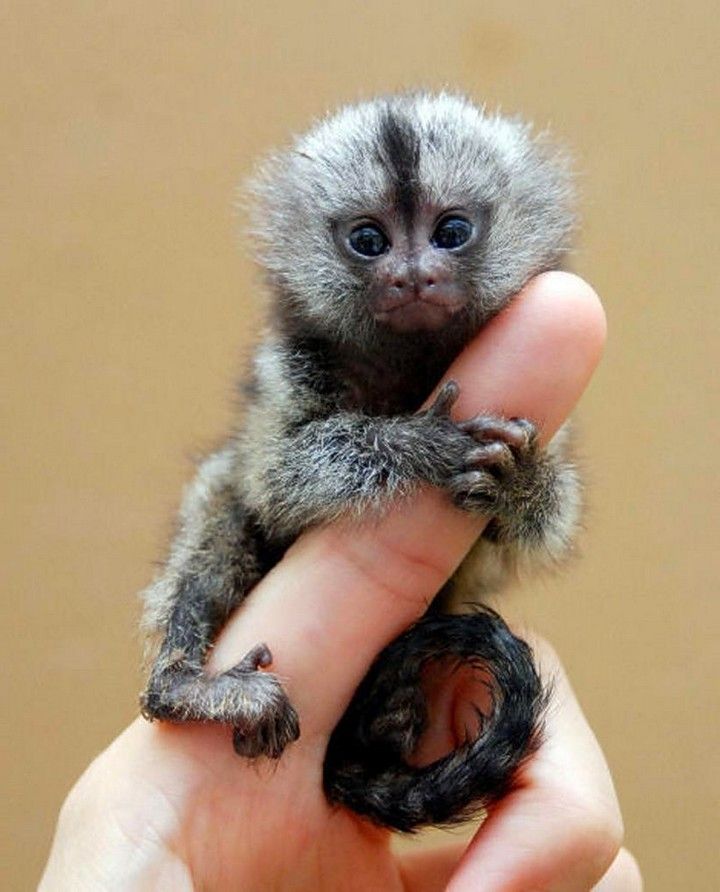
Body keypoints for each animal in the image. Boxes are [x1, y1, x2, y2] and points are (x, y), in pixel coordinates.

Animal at [139, 92, 580, 832]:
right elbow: (274, 479)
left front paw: (522, 483)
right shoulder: (294, 365)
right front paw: (419, 444)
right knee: (223, 502)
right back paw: (180, 688)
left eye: (451, 231)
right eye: (370, 241)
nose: (413, 275)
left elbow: (534, 528)